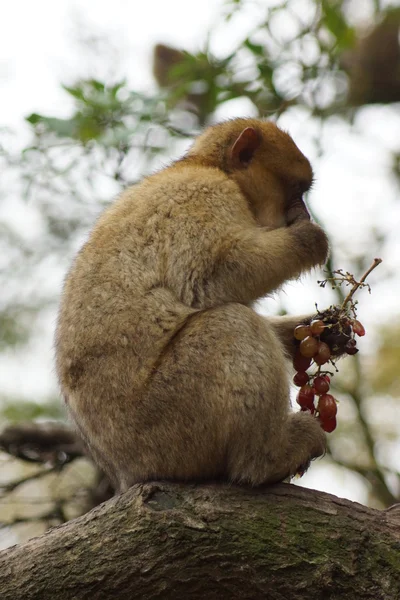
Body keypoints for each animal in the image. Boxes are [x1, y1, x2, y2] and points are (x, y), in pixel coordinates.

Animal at [56, 118, 332, 492]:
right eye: (296, 191)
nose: (305, 212)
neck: (208, 166)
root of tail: (128, 471)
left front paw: (316, 333)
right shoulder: (208, 195)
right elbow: (211, 278)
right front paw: (309, 239)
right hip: (170, 421)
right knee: (233, 323)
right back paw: (265, 460)